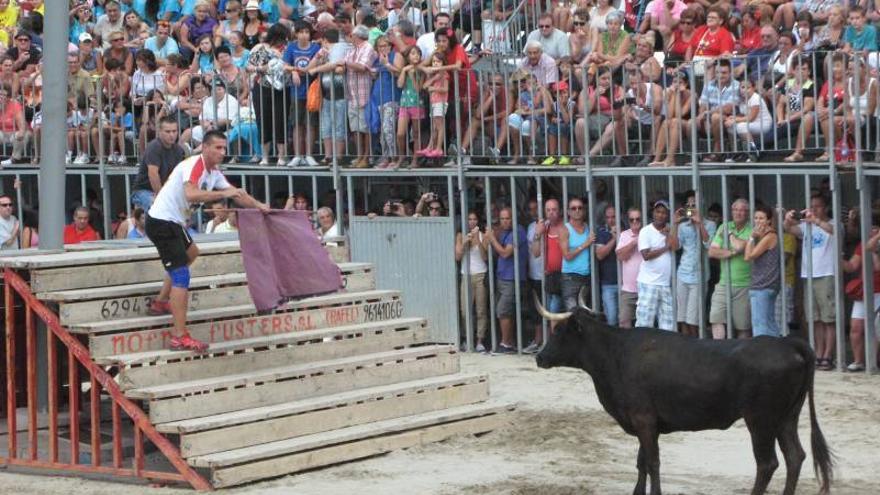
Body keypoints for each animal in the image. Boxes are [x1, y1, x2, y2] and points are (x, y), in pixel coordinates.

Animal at [532, 304, 836, 494]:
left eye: (559, 331)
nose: (539, 357)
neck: (615, 353)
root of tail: (787, 342)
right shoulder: (646, 422)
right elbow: (642, 461)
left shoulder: (643, 419)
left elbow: (652, 462)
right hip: (787, 417)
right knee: (795, 456)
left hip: (760, 420)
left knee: (767, 463)